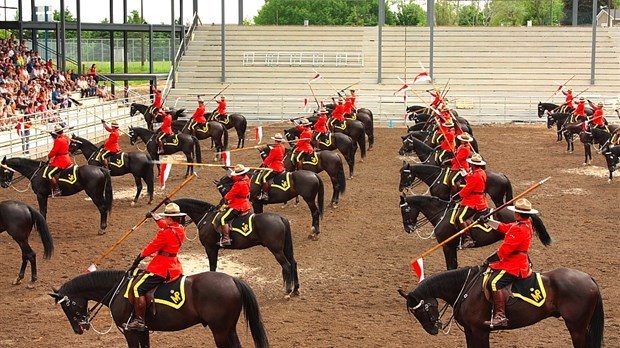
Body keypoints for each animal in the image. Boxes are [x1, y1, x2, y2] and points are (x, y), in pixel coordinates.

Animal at [50, 270, 268, 348]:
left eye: (67, 307)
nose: (78, 329)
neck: (117, 290)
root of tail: (232, 279)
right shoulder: (142, 330)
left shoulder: (129, 332)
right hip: (228, 330)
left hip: (220, 332)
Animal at [398, 266, 604, 346]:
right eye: (416, 314)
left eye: (423, 309)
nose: (432, 329)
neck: (466, 288)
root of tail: (588, 277)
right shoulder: (469, 331)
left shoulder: (480, 331)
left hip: (576, 328)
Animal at [400, 194, 548, 270]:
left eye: (404, 210)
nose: (408, 228)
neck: (441, 213)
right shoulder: (450, 247)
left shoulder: (447, 246)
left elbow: (451, 267)